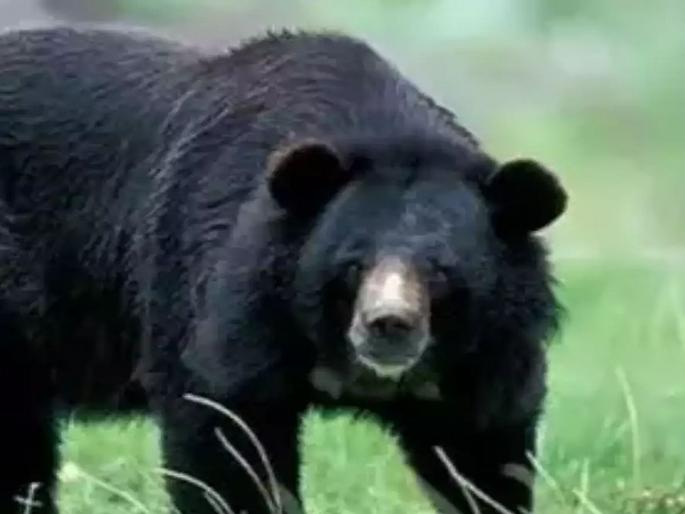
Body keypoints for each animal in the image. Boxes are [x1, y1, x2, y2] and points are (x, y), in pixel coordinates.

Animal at [0, 26, 567, 514]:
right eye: (353, 264)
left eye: (441, 271)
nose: (388, 326)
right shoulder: (228, 304)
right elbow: (226, 436)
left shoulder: (486, 354)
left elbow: (481, 449)